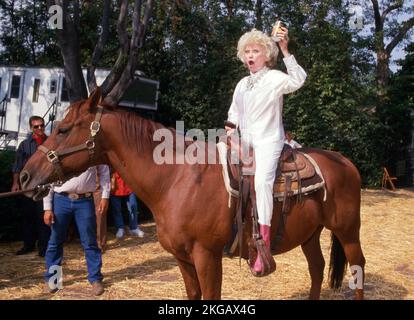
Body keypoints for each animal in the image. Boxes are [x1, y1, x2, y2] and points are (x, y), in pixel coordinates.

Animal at [21, 89, 366, 300]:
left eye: (63, 129)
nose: (25, 175)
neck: (176, 179)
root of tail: (346, 161)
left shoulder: (206, 256)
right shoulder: (183, 258)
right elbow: (194, 295)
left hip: (348, 230)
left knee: (358, 268)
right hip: (311, 233)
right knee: (317, 269)